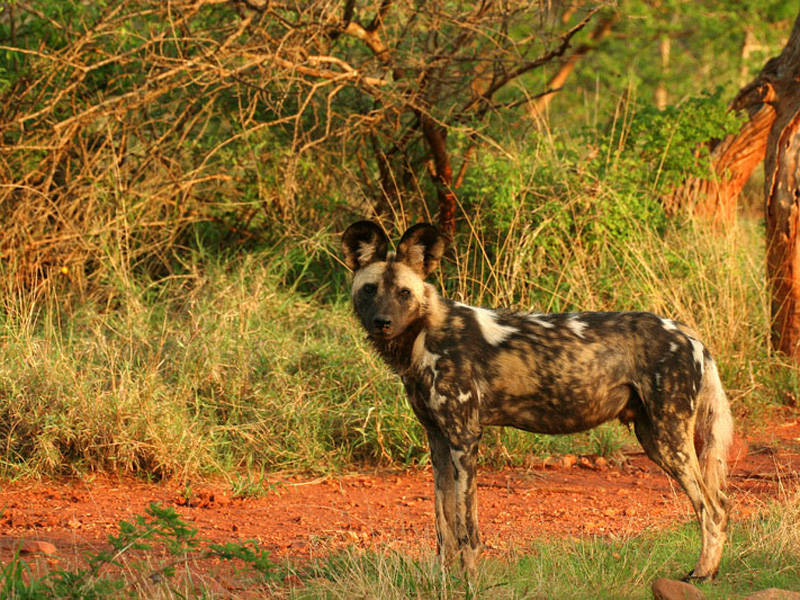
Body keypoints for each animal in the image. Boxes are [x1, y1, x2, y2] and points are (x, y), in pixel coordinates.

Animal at [340, 220, 736, 580]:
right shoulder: (438, 441)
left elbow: (468, 530)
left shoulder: (465, 439)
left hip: (671, 441)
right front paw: (442, 579)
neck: (424, 337)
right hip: (653, 439)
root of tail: (689, 335)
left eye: (404, 293)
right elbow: (445, 526)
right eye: (370, 289)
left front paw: (468, 582)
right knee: (717, 503)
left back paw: (703, 575)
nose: (382, 322)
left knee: (713, 508)